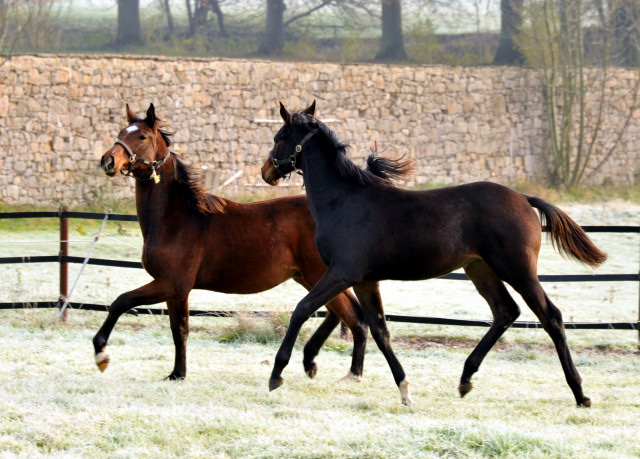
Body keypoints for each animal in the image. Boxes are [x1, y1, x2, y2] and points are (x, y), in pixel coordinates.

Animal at [92, 103, 368, 380]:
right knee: (339, 314)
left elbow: (121, 301)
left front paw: (101, 353)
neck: (177, 217)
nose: (108, 160)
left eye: (142, 137)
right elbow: (179, 330)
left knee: (352, 316)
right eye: (121, 132)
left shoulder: (171, 284)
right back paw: (314, 362)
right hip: (309, 277)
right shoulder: (176, 291)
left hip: (319, 275)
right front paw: (177, 374)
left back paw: (348, 372)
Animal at [258, 100, 604, 406]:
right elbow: (381, 330)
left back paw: (580, 394)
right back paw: (465, 379)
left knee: (551, 317)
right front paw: (405, 390)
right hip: (480, 269)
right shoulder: (366, 281)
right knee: (505, 312)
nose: (266, 172)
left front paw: (277, 374)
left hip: (517, 269)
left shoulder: (343, 273)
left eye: (279, 137)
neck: (344, 200)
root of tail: (523, 198)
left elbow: (302, 309)